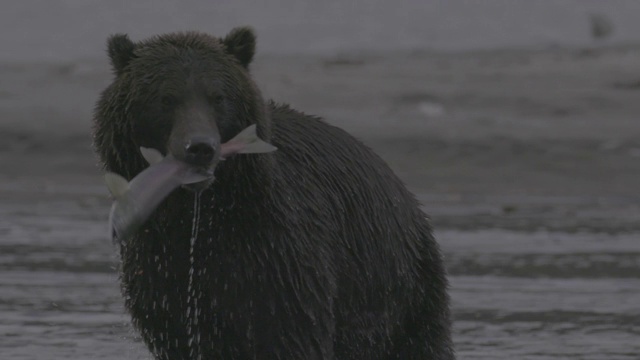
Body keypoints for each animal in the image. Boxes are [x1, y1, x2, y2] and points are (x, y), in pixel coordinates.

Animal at [91, 26, 456, 358]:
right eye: (166, 99)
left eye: (217, 97)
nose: (200, 147)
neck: (201, 213)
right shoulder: (163, 268)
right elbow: (178, 329)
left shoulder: (276, 253)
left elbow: (286, 331)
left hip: (396, 282)